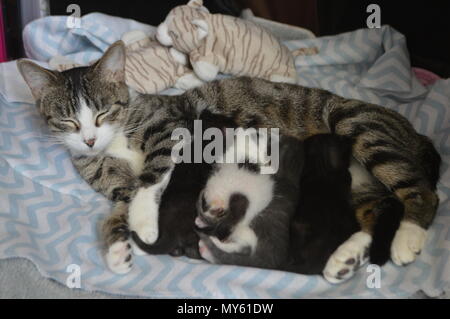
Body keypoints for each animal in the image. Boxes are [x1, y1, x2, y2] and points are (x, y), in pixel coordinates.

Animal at [17, 40, 440, 282]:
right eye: (68, 121)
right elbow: (121, 202)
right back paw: (346, 257)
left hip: (356, 123)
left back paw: (408, 236)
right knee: (375, 208)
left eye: (103, 112)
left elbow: (151, 177)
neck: (113, 144)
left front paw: (143, 222)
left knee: (420, 192)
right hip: (353, 185)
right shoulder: (109, 179)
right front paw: (117, 247)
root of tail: (412, 131)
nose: (89, 138)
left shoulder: (170, 127)